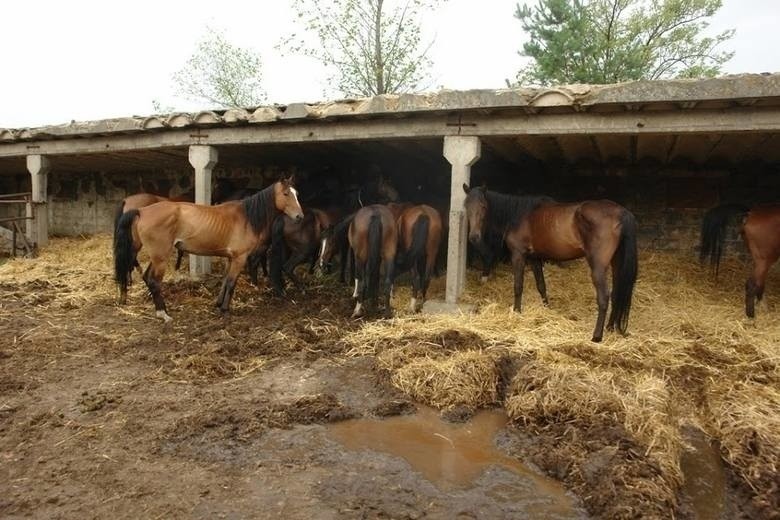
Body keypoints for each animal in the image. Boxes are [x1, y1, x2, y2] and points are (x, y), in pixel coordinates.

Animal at [114, 177, 304, 318]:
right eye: (286, 194)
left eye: (297, 194)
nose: (300, 217)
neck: (247, 217)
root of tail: (141, 211)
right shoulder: (239, 257)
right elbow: (231, 282)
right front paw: (225, 310)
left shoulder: (230, 258)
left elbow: (224, 281)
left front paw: (218, 304)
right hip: (160, 257)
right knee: (153, 281)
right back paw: (163, 314)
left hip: (156, 256)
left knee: (147, 277)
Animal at [460, 185, 636, 344]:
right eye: (466, 206)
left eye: (483, 207)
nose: (474, 237)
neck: (519, 215)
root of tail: (622, 213)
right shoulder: (535, 258)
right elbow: (541, 285)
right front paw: (546, 308)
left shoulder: (518, 255)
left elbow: (518, 286)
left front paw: (517, 311)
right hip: (616, 264)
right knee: (616, 293)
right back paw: (610, 327)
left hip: (598, 267)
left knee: (604, 297)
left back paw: (597, 336)